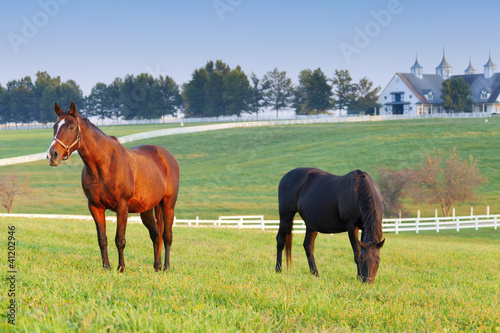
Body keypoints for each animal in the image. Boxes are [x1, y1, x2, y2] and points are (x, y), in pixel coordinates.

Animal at [46, 100, 180, 270]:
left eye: (71, 127)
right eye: (54, 126)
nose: (52, 155)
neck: (104, 165)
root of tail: (167, 157)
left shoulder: (122, 207)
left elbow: (120, 239)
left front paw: (121, 268)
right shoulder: (95, 207)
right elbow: (102, 239)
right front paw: (106, 267)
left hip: (168, 203)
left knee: (167, 235)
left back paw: (166, 267)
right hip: (147, 210)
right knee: (156, 235)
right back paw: (157, 266)